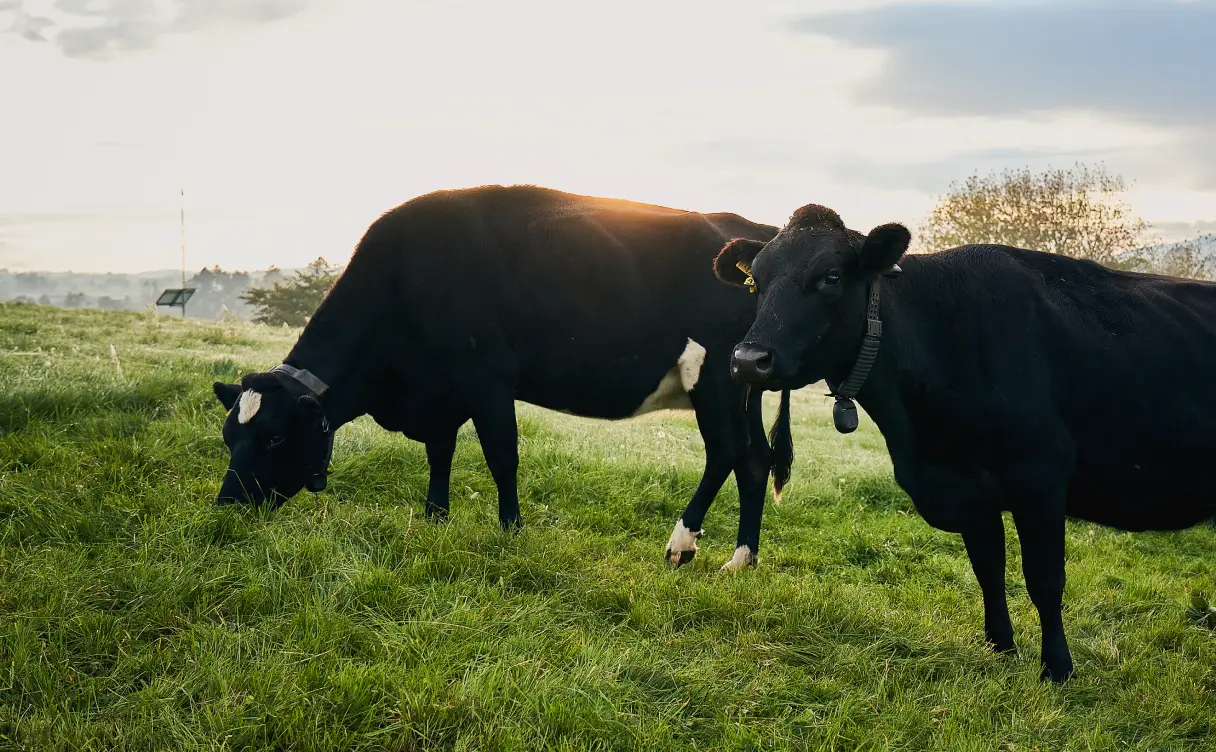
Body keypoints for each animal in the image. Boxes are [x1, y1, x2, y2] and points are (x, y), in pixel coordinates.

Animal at [210, 185, 794, 571]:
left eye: (275, 436)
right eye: (228, 435)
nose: (227, 505)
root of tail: (759, 235)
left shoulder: (486, 377)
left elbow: (501, 455)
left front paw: (511, 528)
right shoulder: (441, 393)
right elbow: (440, 453)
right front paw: (434, 516)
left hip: (715, 378)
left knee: (726, 452)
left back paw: (683, 544)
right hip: (743, 384)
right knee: (755, 459)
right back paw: (742, 559)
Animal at [718, 202, 1216, 681]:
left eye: (831, 277)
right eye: (755, 281)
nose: (748, 359)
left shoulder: (1039, 475)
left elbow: (1044, 579)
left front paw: (1057, 669)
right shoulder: (968, 488)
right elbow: (988, 569)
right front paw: (1000, 647)